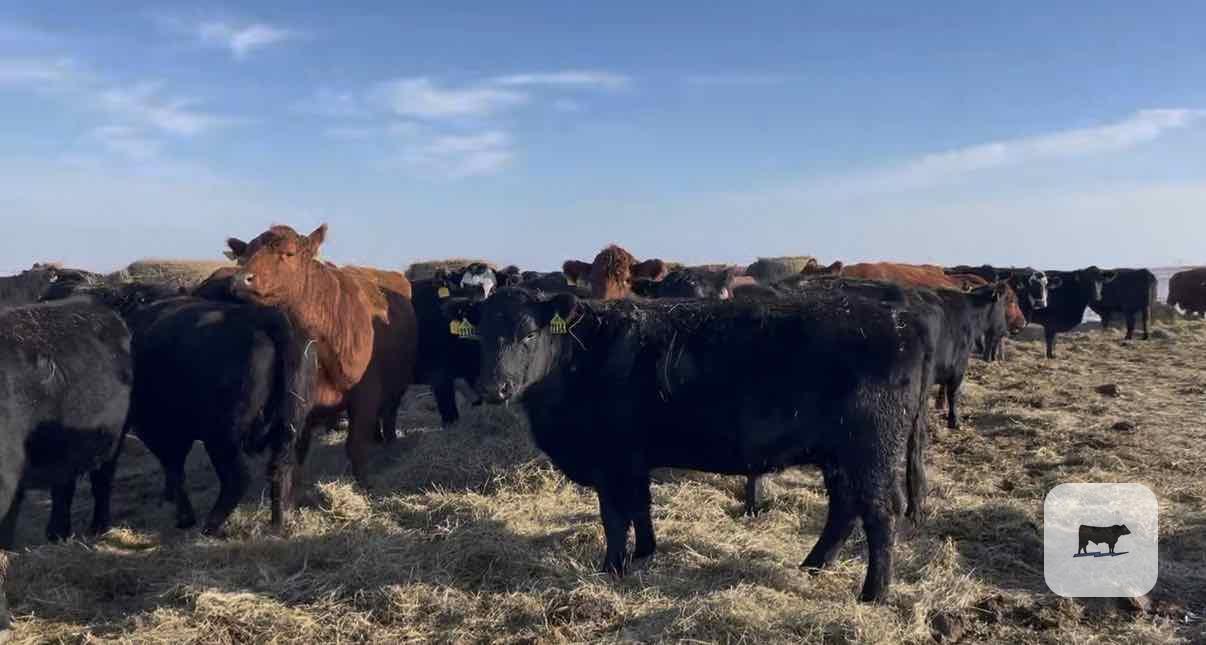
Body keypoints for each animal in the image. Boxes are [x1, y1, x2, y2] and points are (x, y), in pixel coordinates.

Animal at [230, 225, 419, 486]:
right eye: (245, 254)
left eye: (288, 253)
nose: (241, 279)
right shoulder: (301, 405)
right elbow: (296, 455)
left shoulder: (366, 394)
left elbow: (356, 446)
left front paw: (365, 484)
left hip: (398, 382)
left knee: (389, 413)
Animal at [456, 287, 933, 602]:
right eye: (480, 335)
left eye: (529, 335)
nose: (493, 388)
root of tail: (901, 319)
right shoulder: (633, 460)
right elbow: (641, 507)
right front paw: (645, 553)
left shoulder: (611, 459)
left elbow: (614, 517)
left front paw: (611, 569)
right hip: (841, 456)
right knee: (844, 508)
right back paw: (813, 565)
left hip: (870, 452)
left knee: (879, 515)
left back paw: (873, 594)